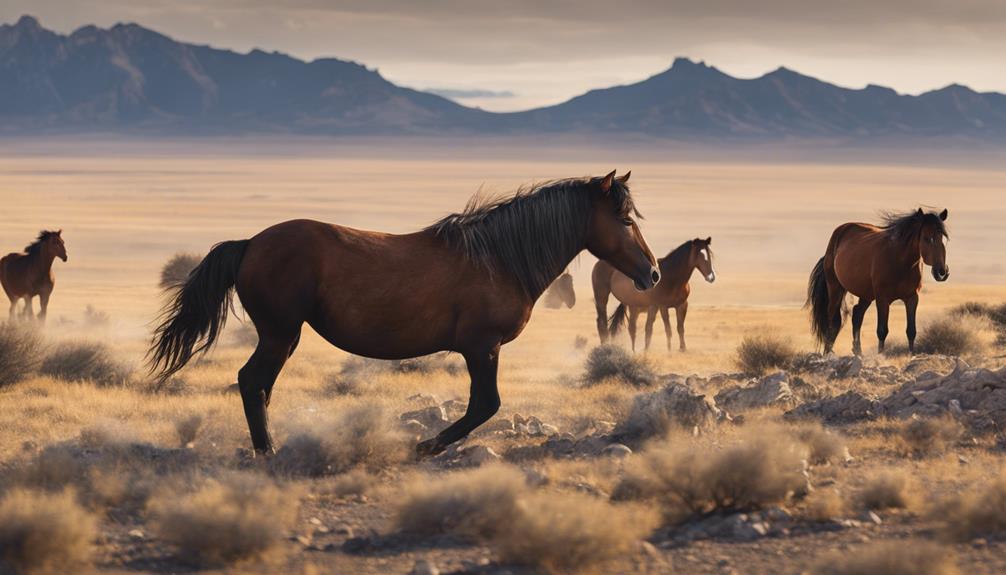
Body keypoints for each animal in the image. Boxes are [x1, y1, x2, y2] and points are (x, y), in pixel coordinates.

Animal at [145, 168, 655, 456]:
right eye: (625, 220)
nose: (650, 273)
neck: (500, 257)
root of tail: (251, 243)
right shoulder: (481, 347)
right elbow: (485, 404)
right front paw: (426, 446)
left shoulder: (481, 349)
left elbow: (483, 404)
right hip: (279, 333)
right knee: (252, 382)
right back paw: (266, 452)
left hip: (283, 336)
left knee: (261, 386)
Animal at [804, 208, 945, 355]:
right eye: (927, 238)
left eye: (943, 238)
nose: (941, 271)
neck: (899, 260)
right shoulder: (882, 298)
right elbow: (882, 331)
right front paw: (880, 355)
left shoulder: (912, 298)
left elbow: (911, 331)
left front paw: (911, 355)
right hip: (835, 288)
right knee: (833, 320)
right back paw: (828, 352)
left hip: (866, 294)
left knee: (857, 314)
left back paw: (858, 352)